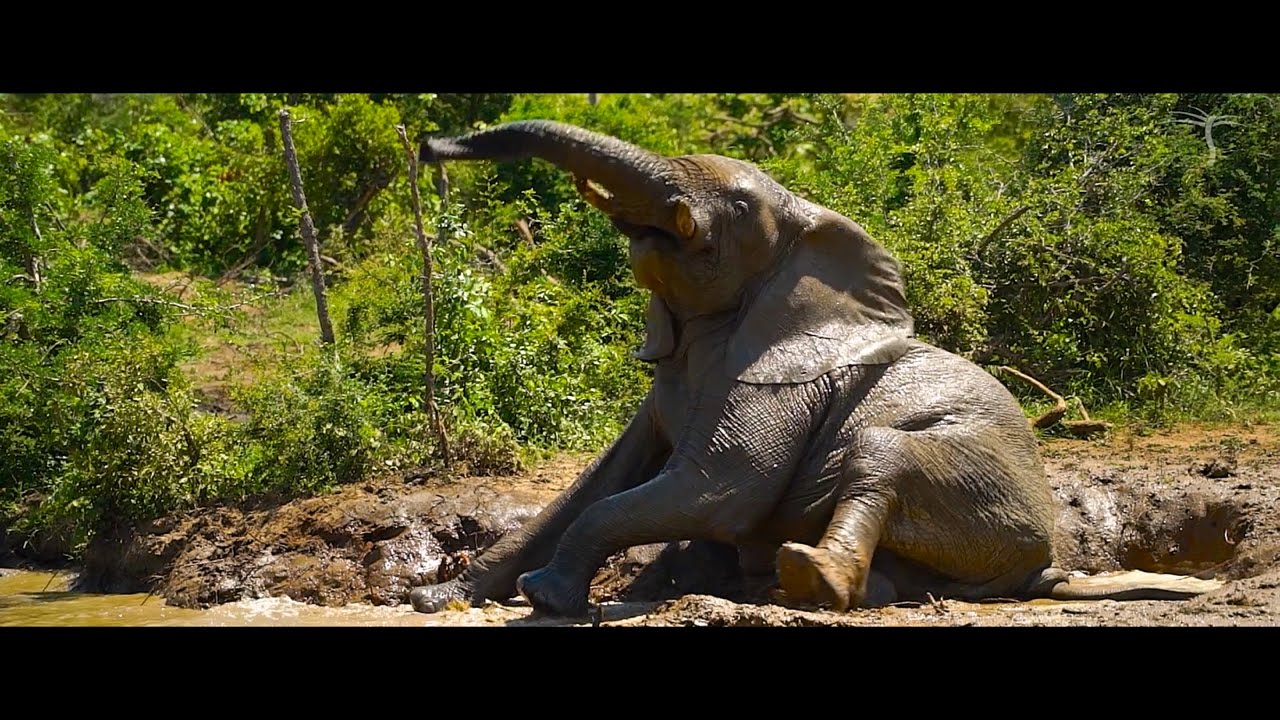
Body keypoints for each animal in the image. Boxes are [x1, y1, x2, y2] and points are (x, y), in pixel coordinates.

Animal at [408, 119, 1221, 617]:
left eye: (739, 208)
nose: (427, 145)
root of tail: (1050, 565)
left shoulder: (780, 377)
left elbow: (717, 490)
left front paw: (547, 598)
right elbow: (598, 481)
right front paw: (443, 600)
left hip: (992, 497)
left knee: (879, 448)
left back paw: (807, 580)